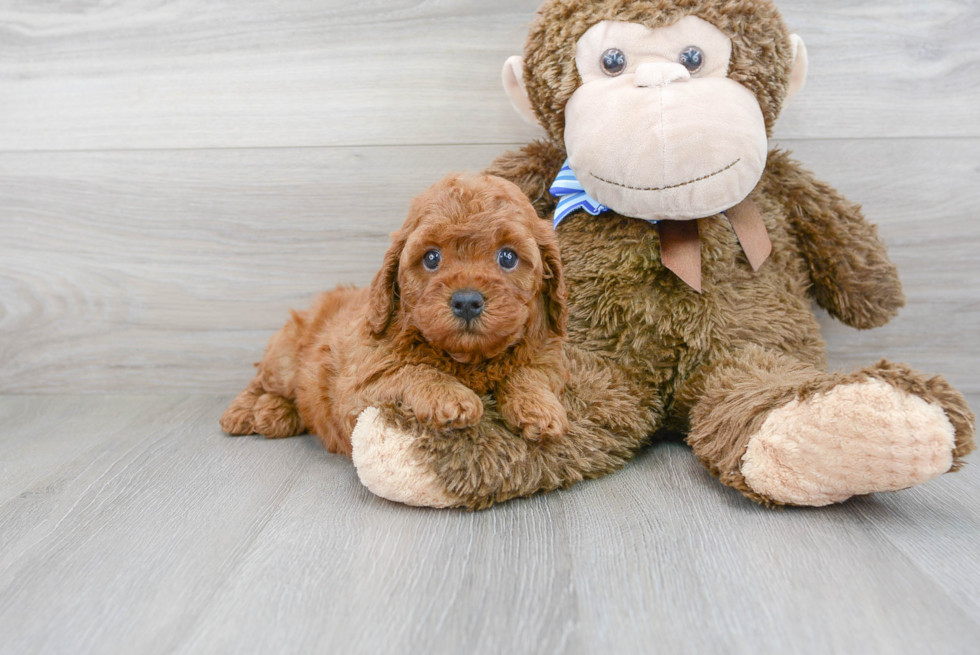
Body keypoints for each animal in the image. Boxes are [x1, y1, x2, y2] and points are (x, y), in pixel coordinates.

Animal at [220, 174, 568, 456]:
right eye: (431, 258)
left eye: (507, 257)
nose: (467, 301)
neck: (468, 359)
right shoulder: (356, 389)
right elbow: (410, 370)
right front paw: (449, 396)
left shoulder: (549, 356)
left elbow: (529, 373)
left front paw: (539, 408)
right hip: (284, 358)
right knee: (262, 382)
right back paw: (250, 413)